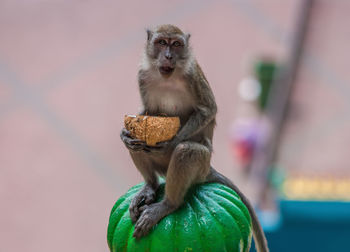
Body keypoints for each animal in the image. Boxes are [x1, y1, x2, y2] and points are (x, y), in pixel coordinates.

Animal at [120, 24, 268, 252]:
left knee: (186, 151)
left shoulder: (192, 77)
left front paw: (169, 144)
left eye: (176, 44)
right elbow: (146, 112)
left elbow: (208, 110)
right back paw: (150, 185)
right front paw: (124, 133)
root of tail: (208, 170)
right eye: (161, 43)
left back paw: (168, 204)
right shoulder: (142, 76)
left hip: (200, 165)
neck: (167, 77)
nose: (169, 56)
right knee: (137, 146)